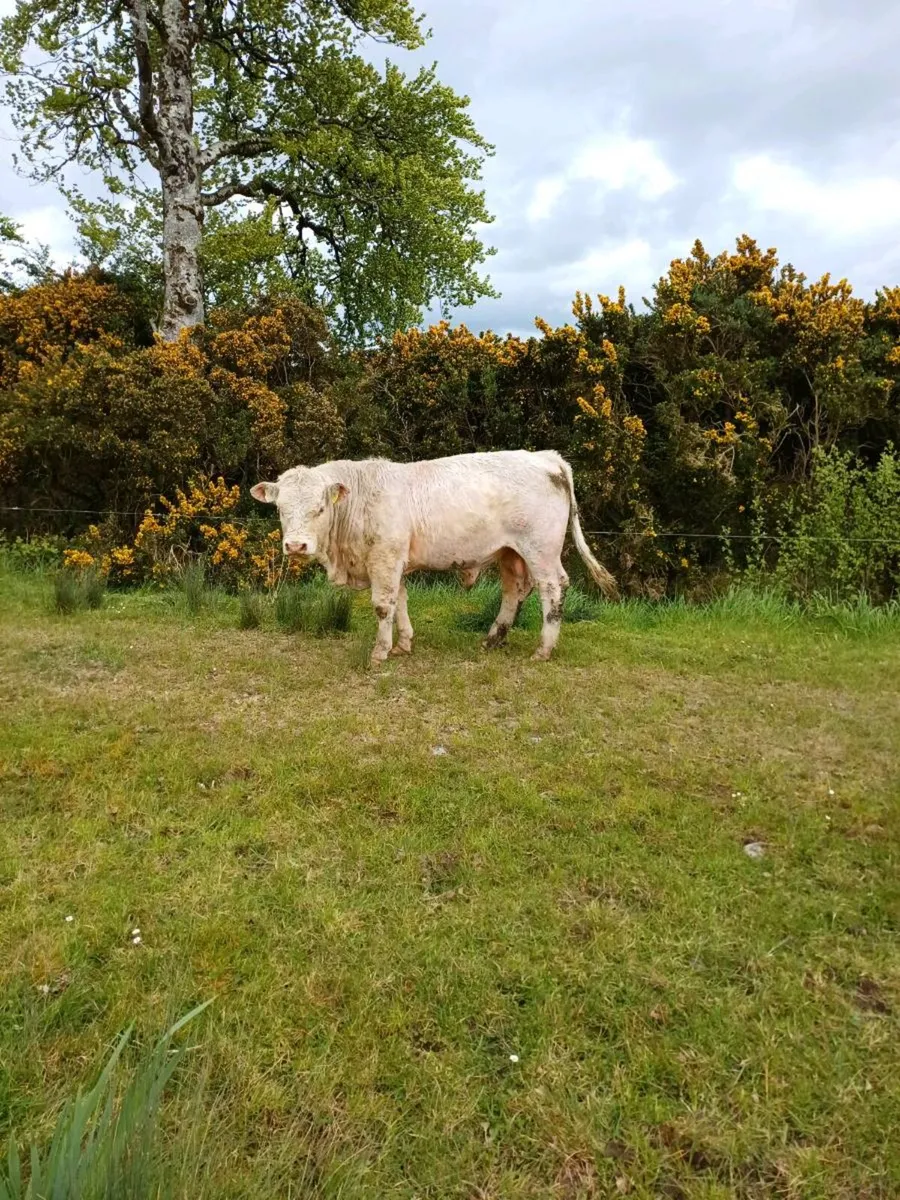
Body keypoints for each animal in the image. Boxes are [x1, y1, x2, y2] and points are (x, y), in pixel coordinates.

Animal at [250, 449, 618, 665]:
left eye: (320, 508)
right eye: (280, 509)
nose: (295, 546)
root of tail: (547, 457)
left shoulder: (384, 558)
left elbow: (383, 606)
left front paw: (380, 652)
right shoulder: (393, 561)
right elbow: (399, 602)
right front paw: (402, 644)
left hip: (540, 550)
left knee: (552, 590)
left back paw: (543, 649)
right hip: (511, 553)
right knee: (514, 591)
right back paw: (493, 638)